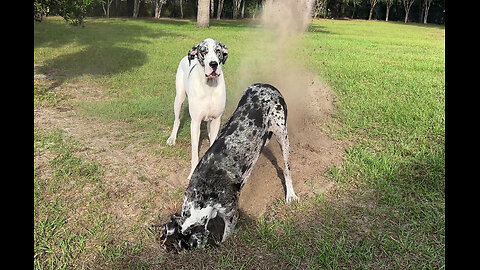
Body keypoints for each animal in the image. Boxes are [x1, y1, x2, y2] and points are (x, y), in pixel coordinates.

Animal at [159, 84, 298, 251]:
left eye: (184, 248)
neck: (205, 190)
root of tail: (266, 85)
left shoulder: (231, 216)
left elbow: (225, 238)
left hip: (282, 136)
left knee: (287, 169)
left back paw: (290, 194)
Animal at [167, 36, 229, 179]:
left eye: (218, 50)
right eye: (204, 51)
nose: (213, 64)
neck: (209, 87)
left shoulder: (216, 119)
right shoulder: (195, 123)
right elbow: (195, 152)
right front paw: (192, 173)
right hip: (179, 98)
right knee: (177, 120)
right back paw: (172, 138)